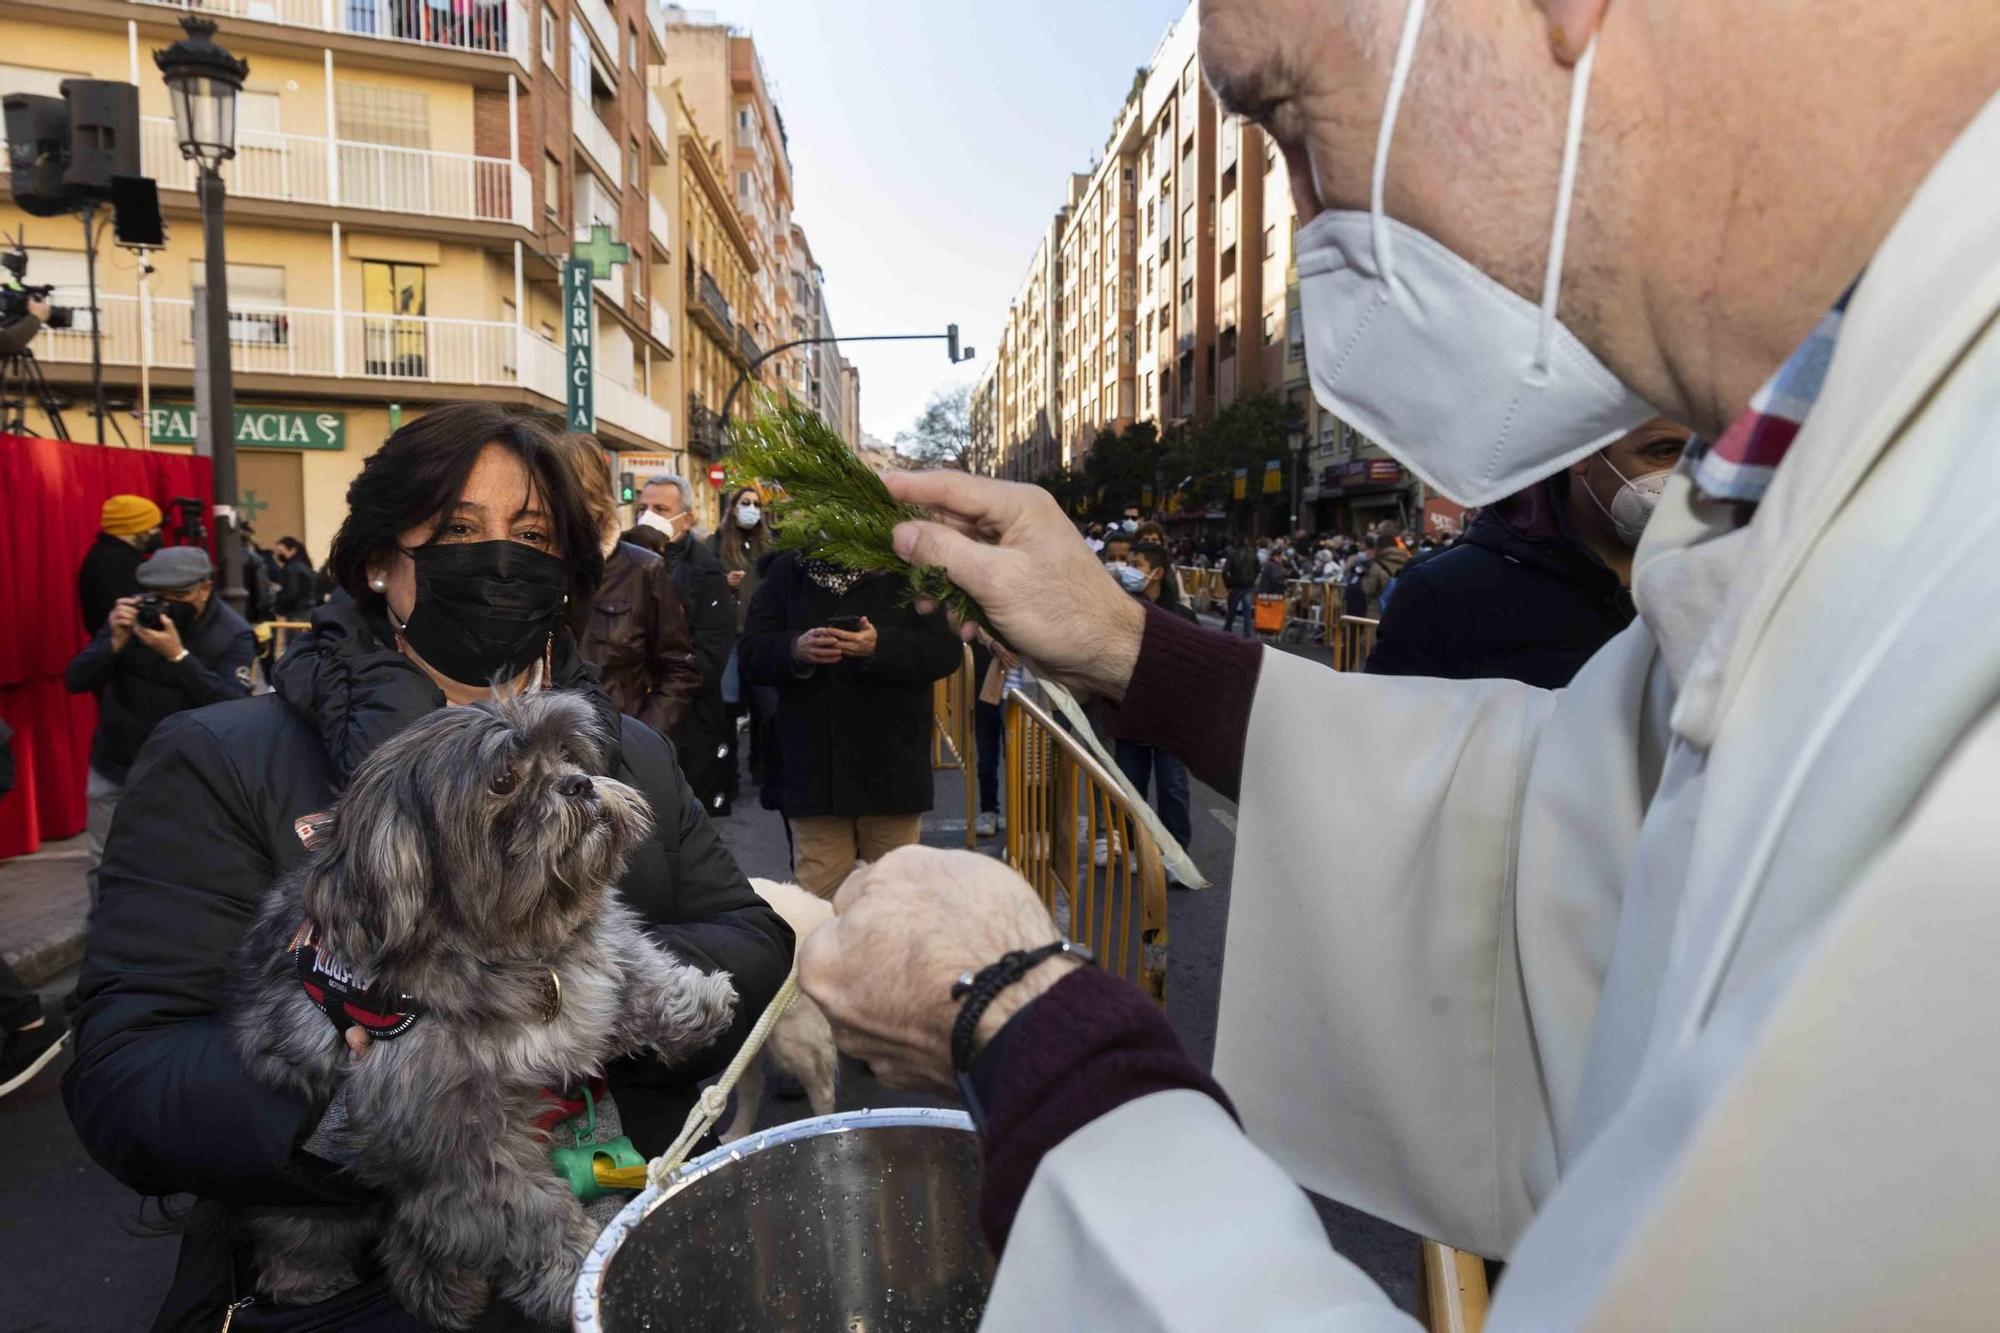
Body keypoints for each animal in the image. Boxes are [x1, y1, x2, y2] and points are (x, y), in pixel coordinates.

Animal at [227, 688, 740, 1320]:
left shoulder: (586, 952)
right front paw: (579, 1268)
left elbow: (624, 959)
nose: (579, 783)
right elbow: (527, 1212)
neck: (512, 950)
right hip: (316, 1202)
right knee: (332, 1232)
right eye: (502, 781)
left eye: (567, 754)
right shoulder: (454, 1140)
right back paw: (324, 1281)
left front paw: (689, 1003)